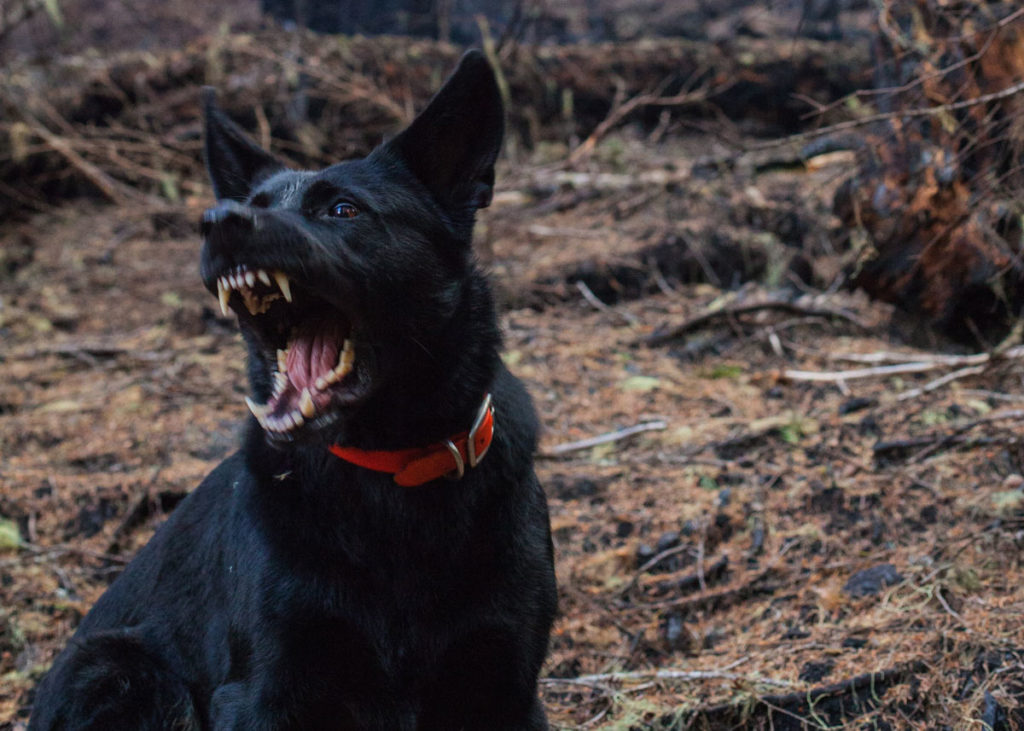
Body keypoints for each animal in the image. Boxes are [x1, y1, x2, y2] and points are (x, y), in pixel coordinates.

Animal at [29, 52, 561, 728]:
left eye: (343, 210)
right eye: (251, 203)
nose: (218, 222)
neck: (393, 472)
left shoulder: (506, 686)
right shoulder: (265, 691)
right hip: (124, 672)